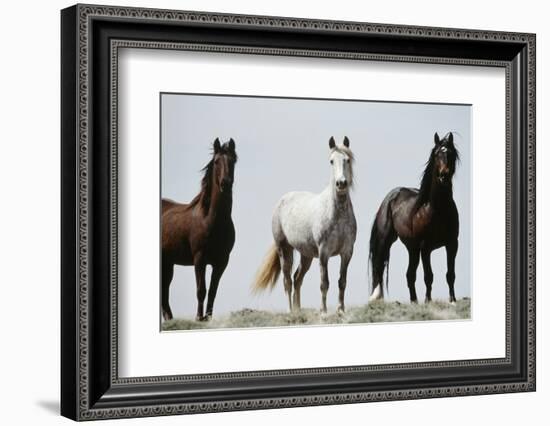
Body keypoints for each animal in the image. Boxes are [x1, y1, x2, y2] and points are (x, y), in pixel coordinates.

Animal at [160, 138, 237, 322]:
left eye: (233, 161)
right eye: (216, 161)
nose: (225, 183)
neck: (211, 220)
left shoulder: (222, 262)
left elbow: (213, 291)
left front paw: (207, 318)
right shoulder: (199, 259)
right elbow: (201, 290)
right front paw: (198, 318)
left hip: (168, 263)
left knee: (165, 291)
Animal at [253, 136, 358, 312]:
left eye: (347, 159)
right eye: (331, 161)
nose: (341, 183)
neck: (337, 214)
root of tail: (282, 200)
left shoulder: (347, 252)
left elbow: (342, 282)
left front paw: (341, 310)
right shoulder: (324, 253)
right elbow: (324, 283)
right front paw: (323, 312)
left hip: (306, 255)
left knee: (297, 278)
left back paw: (298, 310)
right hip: (284, 249)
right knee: (288, 281)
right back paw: (291, 311)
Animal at [370, 132, 462, 302]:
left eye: (451, 154)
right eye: (437, 154)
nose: (444, 176)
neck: (437, 209)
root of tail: (390, 197)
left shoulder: (452, 244)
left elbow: (450, 275)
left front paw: (452, 300)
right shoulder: (426, 248)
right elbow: (429, 276)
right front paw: (428, 301)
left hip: (412, 249)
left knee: (410, 275)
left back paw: (414, 301)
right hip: (387, 242)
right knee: (379, 268)